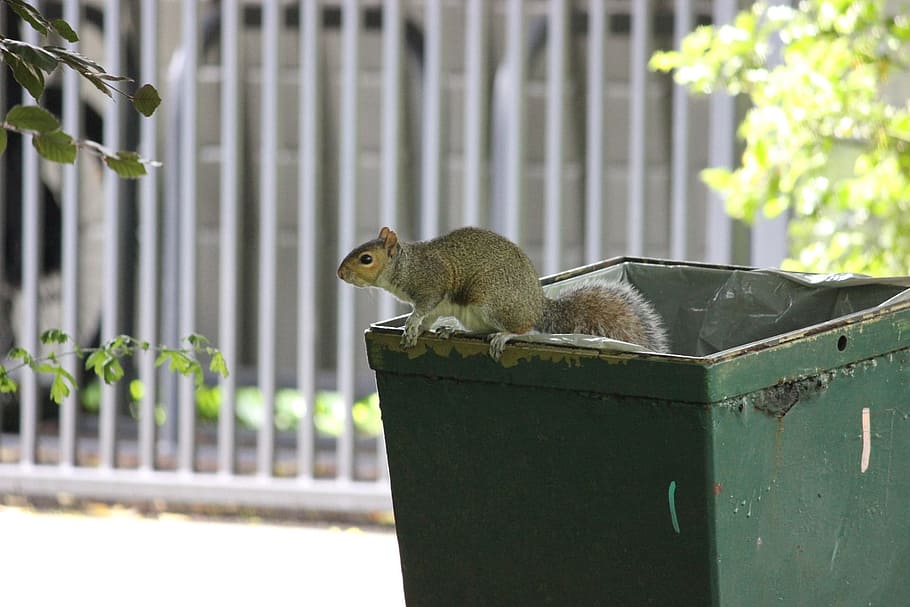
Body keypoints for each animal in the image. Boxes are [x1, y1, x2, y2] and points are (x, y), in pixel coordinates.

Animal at [337, 227, 668, 360]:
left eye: (366, 258)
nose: (340, 274)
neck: (405, 266)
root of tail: (538, 306)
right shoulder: (434, 302)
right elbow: (427, 317)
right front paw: (417, 331)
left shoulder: (431, 284)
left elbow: (422, 309)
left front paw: (409, 326)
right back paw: (456, 331)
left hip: (492, 302)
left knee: (524, 329)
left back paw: (504, 337)